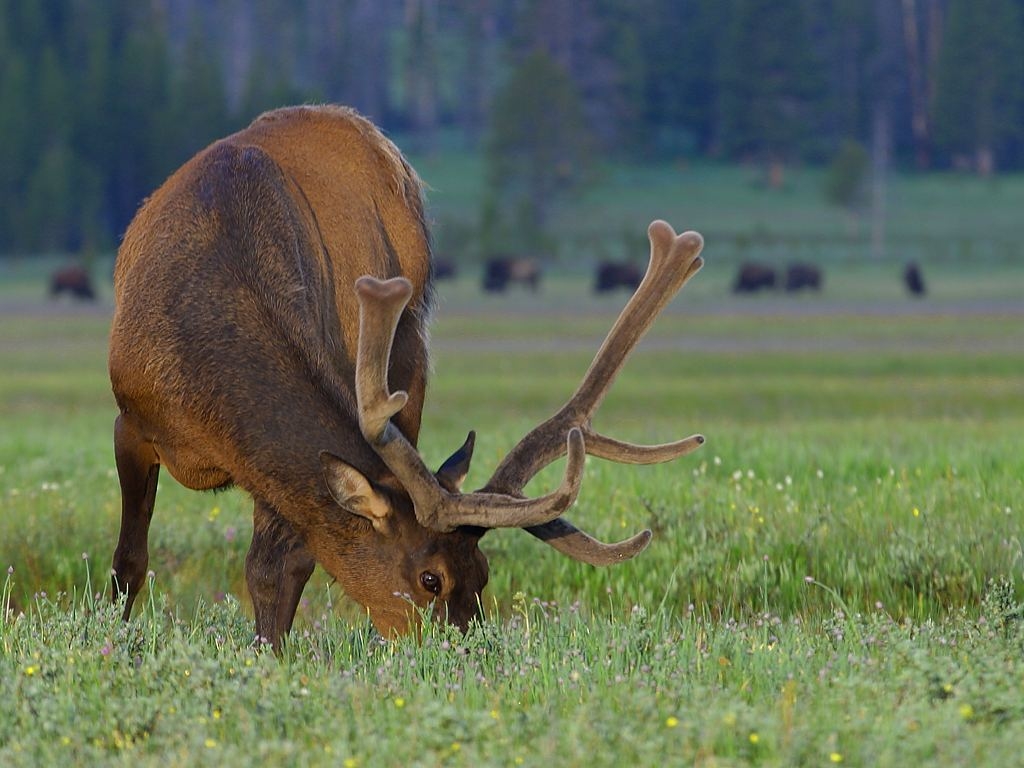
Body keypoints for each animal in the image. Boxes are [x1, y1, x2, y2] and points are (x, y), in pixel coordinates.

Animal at [108, 105, 706, 651]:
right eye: (430, 578)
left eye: (484, 575)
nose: (466, 653)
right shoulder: (130, 419)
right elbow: (130, 559)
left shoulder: (273, 474)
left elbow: (274, 570)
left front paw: (269, 654)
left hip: (410, 356)